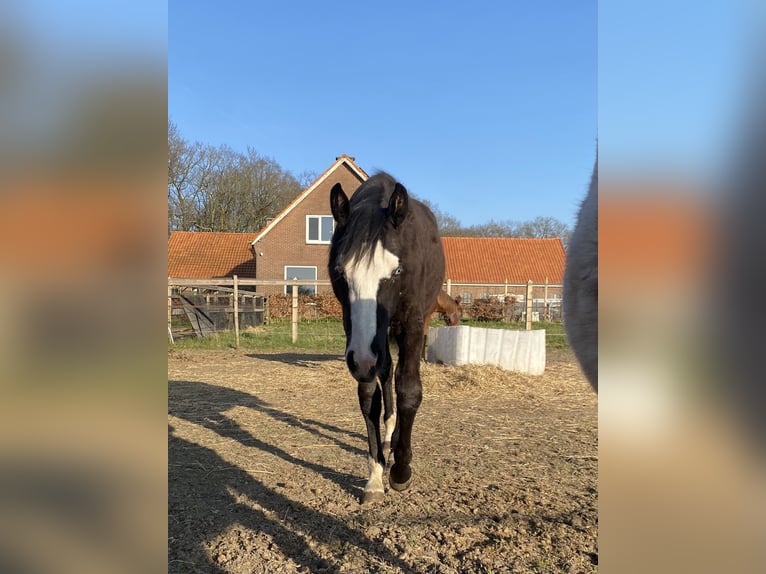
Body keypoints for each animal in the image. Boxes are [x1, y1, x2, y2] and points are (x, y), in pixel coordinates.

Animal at [328, 172, 445, 505]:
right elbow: (369, 396)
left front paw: (401, 470)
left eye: (397, 271)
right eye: (340, 272)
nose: (363, 360)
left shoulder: (413, 323)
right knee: (385, 372)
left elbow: (409, 390)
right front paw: (376, 476)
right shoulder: (356, 335)